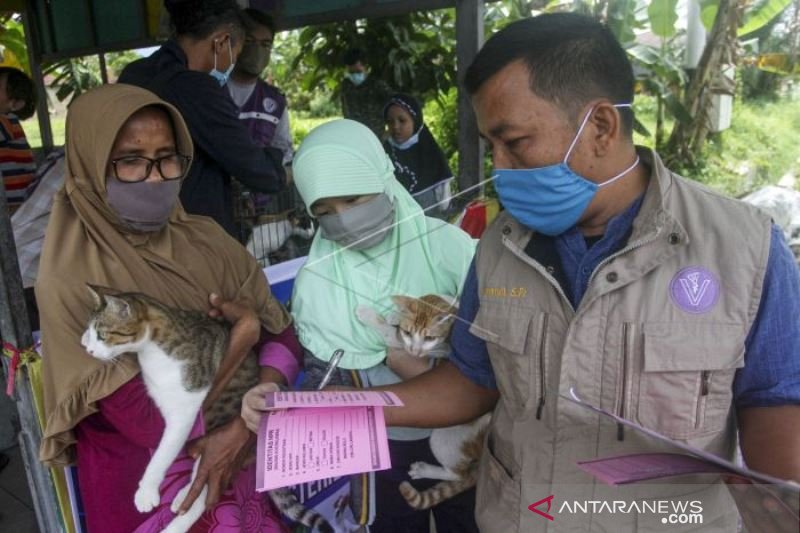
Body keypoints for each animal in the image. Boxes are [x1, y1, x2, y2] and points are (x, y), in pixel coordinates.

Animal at [79, 284, 334, 532]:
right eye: (91, 333)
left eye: (102, 335)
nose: (88, 350)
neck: (153, 351)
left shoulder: (185, 410)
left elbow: (163, 453)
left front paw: (146, 491)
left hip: (219, 428)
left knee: (204, 489)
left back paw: (176, 523)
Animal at [354, 294, 490, 510]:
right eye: (408, 332)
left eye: (429, 339)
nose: (415, 350)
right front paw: (395, 314)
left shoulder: (417, 351)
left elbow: (388, 332)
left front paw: (368, 314)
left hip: (447, 437)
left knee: (459, 474)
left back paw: (424, 470)